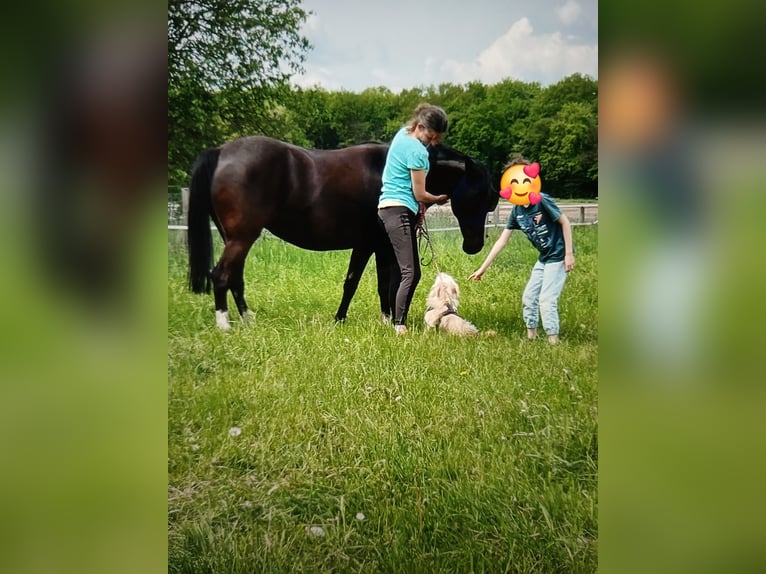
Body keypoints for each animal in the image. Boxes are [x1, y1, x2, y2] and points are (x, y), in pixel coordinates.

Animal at [187, 136, 498, 330]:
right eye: (480, 196)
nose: (474, 245)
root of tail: (220, 152)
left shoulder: (372, 245)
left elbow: (363, 283)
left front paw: (353, 320)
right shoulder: (377, 244)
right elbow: (371, 283)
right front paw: (379, 321)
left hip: (235, 239)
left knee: (235, 278)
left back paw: (247, 319)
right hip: (241, 238)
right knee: (221, 275)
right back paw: (224, 325)